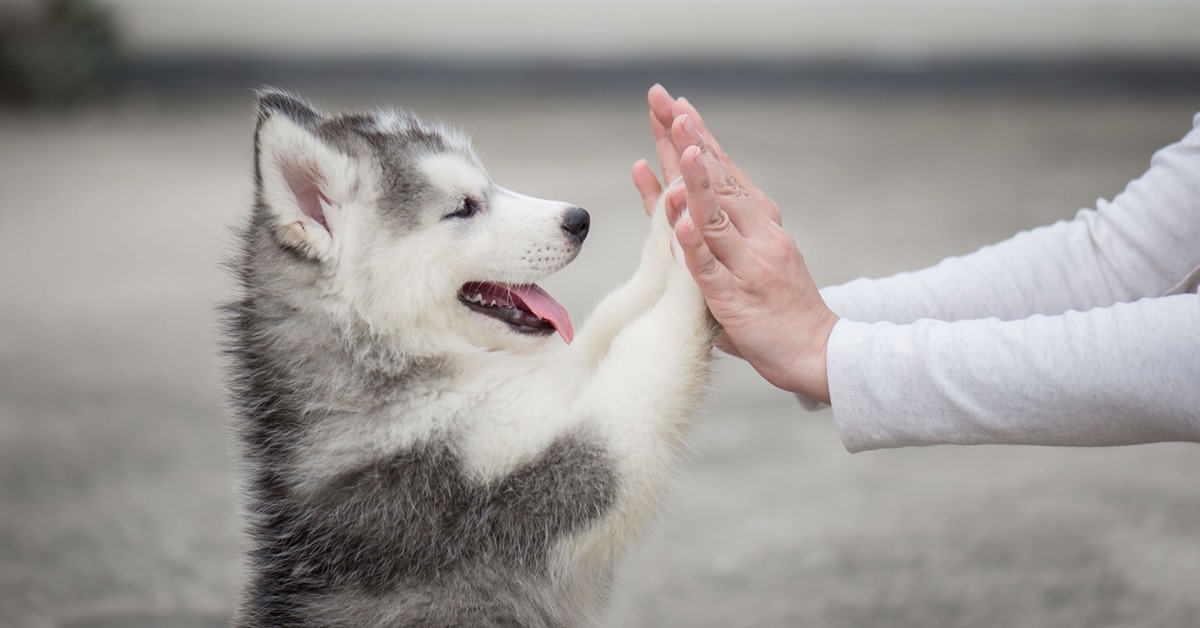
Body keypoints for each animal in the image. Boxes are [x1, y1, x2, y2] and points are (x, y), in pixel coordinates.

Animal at [222, 89, 715, 628]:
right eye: (463, 208)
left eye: (489, 184)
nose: (579, 220)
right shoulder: (535, 480)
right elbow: (647, 352)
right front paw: (700, 256)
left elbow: (610, 319)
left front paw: (672, 221)